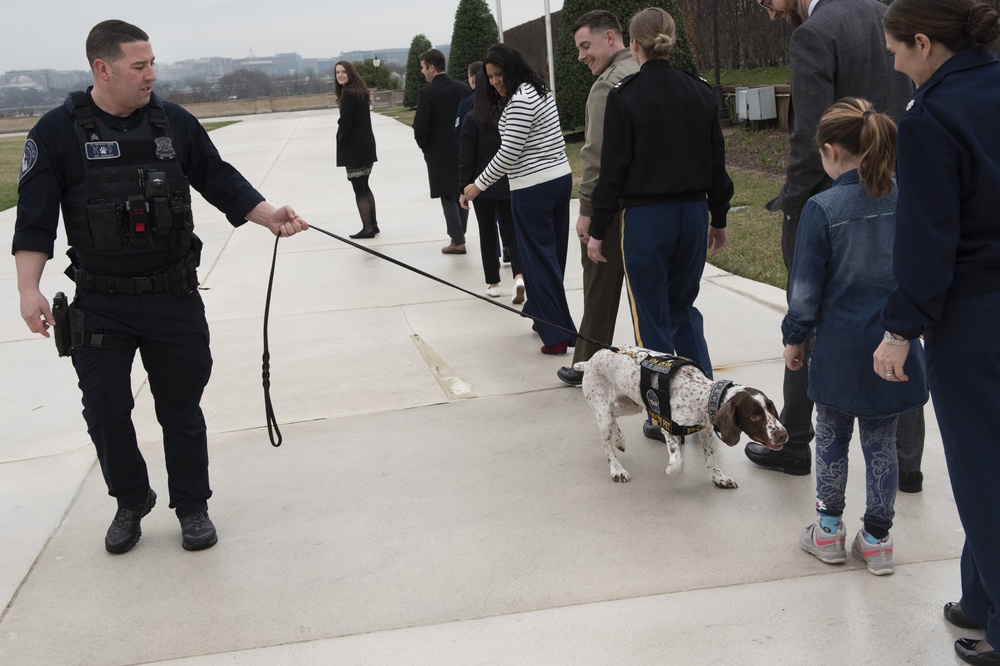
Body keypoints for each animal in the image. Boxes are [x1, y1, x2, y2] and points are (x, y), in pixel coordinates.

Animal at [580, 348, 788, 488]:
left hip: (632, 404)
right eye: (754, 416)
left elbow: (711, 459)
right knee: (606, 446)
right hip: (603, 412)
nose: (783, 435)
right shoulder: (669, 426)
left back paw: (619, 439)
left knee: (615, 416)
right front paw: (672, 470)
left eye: (772, 409)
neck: (705, 395)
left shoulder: (706, 430)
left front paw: (718, 478)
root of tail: (590, 359)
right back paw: (617, 469)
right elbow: (678, 458)